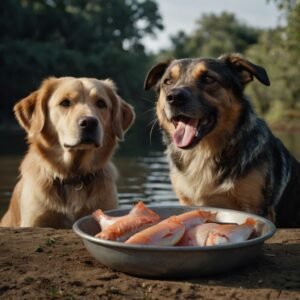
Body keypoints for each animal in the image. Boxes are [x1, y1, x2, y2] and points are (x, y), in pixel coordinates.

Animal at [145, 53, 300, 227]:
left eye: (208, 78)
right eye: (167, 81)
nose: (174, 97)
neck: (202, 153)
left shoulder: (256, 208)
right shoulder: (186, 202)